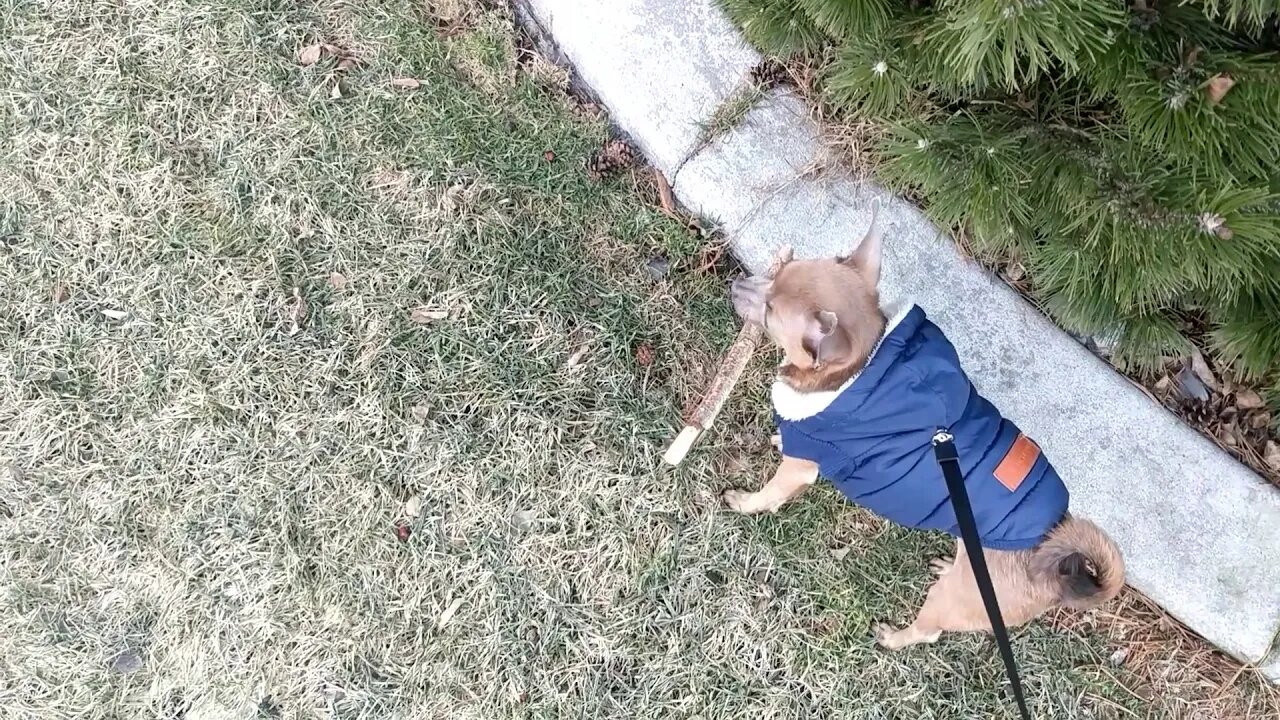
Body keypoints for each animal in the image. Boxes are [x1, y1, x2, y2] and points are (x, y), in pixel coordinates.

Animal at [727, 204, 1126, 648]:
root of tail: (1054, 567)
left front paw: (743, 502)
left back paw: (894, 637)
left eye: (771, 313)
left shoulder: (801, 467)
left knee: (928, 632)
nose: (735, 283)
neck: (864, 369)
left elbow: (770, 494)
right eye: (776, 273)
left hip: (949, 601)